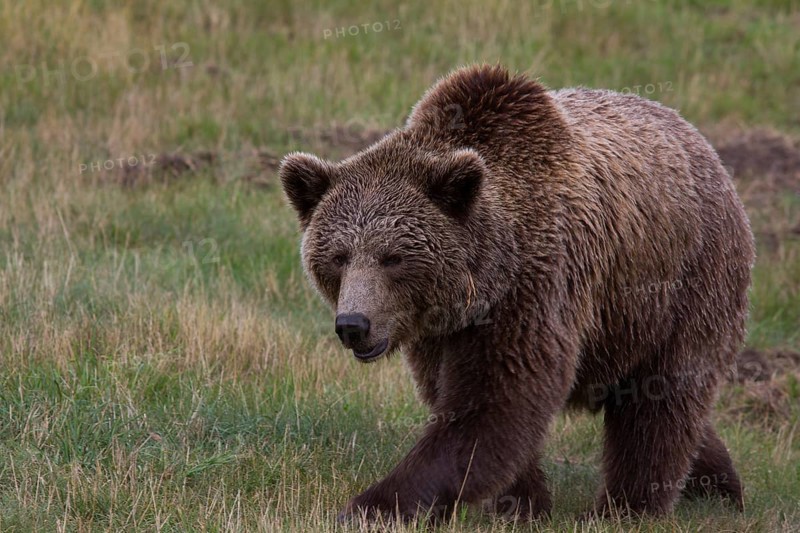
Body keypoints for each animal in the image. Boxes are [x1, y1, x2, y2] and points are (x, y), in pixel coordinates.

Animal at [279, 65, 754, 523]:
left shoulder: (536, 285)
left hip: (684, 282)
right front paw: (521, 502)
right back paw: (716, 485)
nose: (353, 325)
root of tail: (705, 147)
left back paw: (627, 506)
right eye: (339, 256)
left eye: (392, 257)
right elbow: (464, 402)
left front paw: (373, 504)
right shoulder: (439, 333)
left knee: (661, 401)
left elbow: (494, 404)